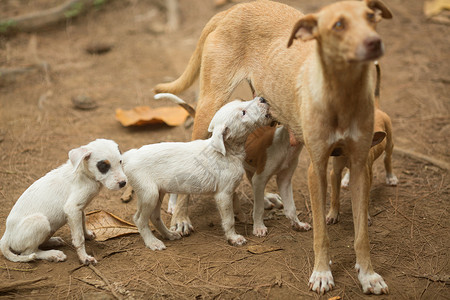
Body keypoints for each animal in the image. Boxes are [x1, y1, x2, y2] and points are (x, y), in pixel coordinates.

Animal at [122, 97, 270, 250]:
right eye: (243, 113)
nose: (262, 99)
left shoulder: (230, 188)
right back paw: (153, 242)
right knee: (139, 219)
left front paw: (243, 218)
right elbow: (229, 220)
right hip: (149, 194)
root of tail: (128, 156)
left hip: (158, 192)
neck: (228, 152)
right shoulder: (223, 194)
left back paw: (170, 235)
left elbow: (236, 204)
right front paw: (234, 238)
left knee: (154, 217)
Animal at [156, 0, 394, 294]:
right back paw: (180, 214)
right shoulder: (316, 169)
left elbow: (362, 234)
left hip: (260, 100)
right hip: (211, 103)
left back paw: (266, 197)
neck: (342, 94)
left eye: (371, 17)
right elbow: (321, 233)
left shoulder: (360, 166)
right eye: (338, 25)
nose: (374, 43)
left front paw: (368, 275)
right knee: (192, 149)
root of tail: (232, 10)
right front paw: (322, 273)